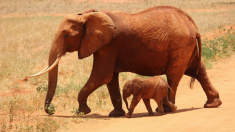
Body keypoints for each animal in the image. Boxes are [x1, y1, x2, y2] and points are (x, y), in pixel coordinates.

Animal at [26, 5, 222, 116]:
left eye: (66, 35)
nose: (51, 111)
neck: (88, 16)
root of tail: (194, 26)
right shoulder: (107, 47)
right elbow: (110, 78)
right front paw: (115, 114)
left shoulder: (108, 44)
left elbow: (101, 76)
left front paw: (82, 112)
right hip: (187, 48)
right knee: (198, 70)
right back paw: (212, 104)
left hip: (179, 46)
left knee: (174, 76)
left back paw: (166, 110)